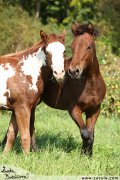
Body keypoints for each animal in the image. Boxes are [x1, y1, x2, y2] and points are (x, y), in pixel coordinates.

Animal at [2, 21, 106, 155]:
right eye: (72, 47)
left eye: (89, 46)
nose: (73, 71)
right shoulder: (73, 109)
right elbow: (85, 133)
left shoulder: (94, 110)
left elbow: (91, 134)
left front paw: (88, 156)